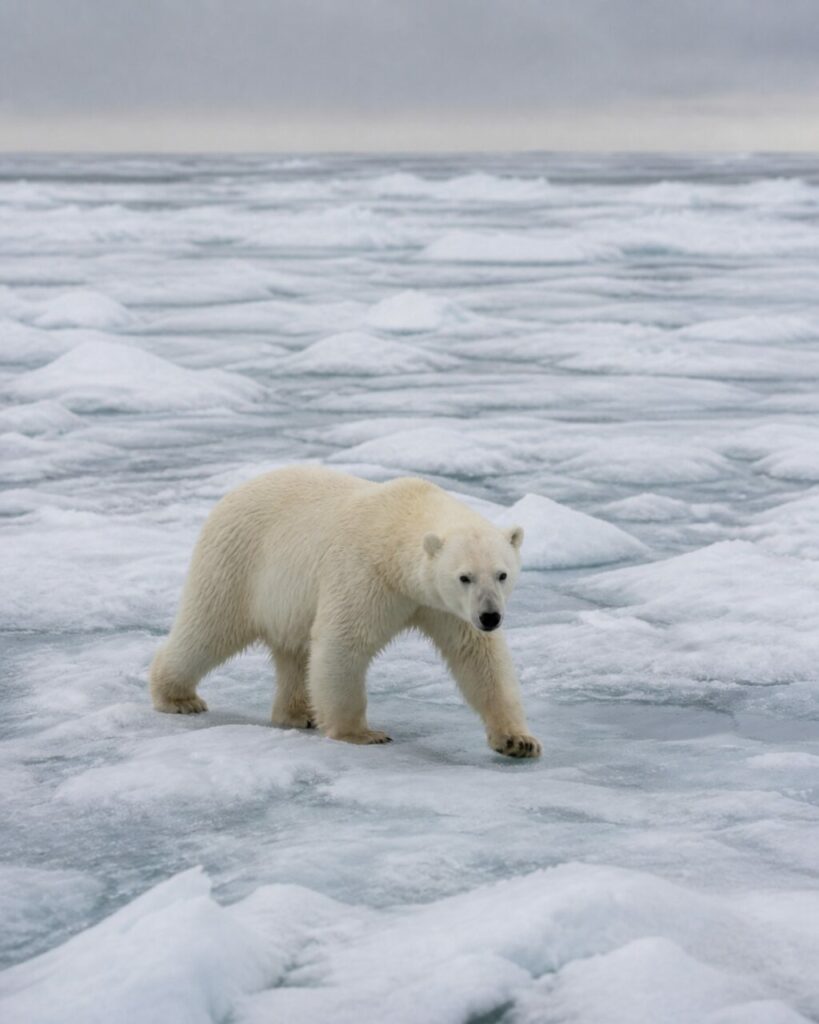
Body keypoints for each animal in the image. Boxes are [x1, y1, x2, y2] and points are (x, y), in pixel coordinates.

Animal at [150, 466, 541, 758]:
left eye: (502, 574)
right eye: (464, 576)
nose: (491, 617)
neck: (399, 523)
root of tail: (234, 492)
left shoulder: (443, 605)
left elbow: (478, 657)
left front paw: (518, 740)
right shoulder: (364, 573)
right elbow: (344, 642)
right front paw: (362, 733)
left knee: (294, 652)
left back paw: (298, 712)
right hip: (238, 562)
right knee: (208, 628)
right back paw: (178, 697)